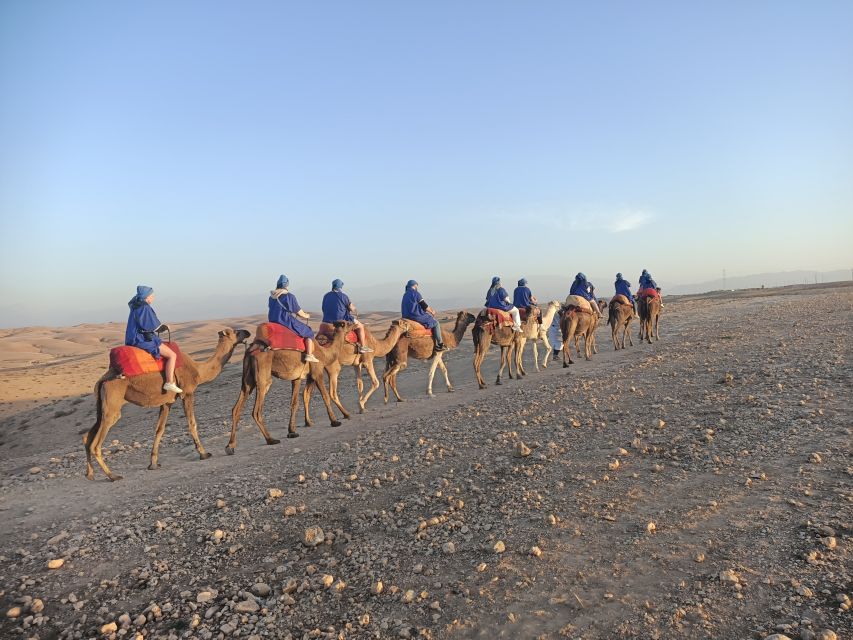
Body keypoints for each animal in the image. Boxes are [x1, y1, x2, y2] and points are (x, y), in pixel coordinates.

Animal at [83, 330, 250, 480]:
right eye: (235, 332)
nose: (247, 332)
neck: (198, 370)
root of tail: (104, 379)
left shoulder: (167, 402)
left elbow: (159, 430)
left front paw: (153, 464)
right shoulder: (187, 393)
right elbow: (192, 423)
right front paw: (204, 453)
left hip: (101, 405)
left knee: (87, 437)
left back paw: (90, 474)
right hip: (113, 403)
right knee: (96, 444)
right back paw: (112, 475)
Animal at [226, 322, 350, 452]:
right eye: (347, 323)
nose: (354, 324)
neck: (325, 353)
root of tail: (250, 350)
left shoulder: (298, 377)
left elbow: (296, 402)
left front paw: (293, 431)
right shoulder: (317, 372)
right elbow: (325, 396)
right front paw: (335, 421)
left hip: (248, 379)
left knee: (236, 408)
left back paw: (230, 446)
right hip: (263, 376)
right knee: (256, 410)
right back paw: (271, 440)